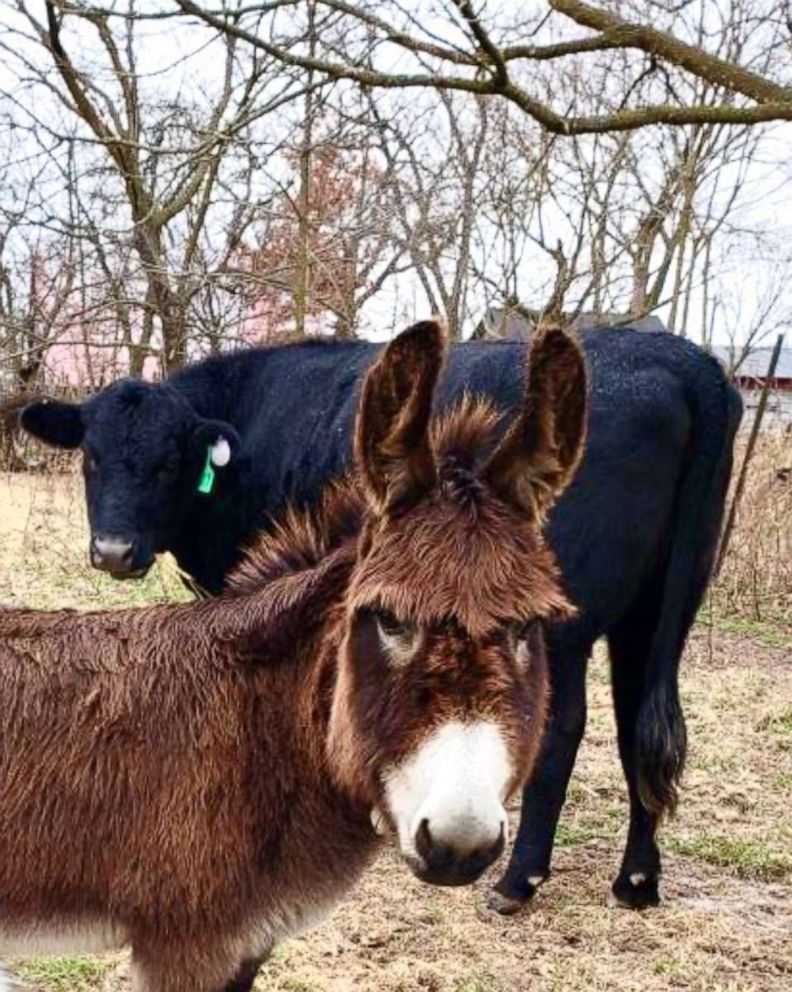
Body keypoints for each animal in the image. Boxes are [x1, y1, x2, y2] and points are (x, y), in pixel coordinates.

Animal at [20, 328, 744, 924]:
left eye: (170, 461)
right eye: (91, 457)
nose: (114, 551)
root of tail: (687, 361)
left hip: (560, 624)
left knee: (564, 730)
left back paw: (517, 882)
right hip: (656, 615)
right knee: (641, 729)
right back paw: (637, 880)